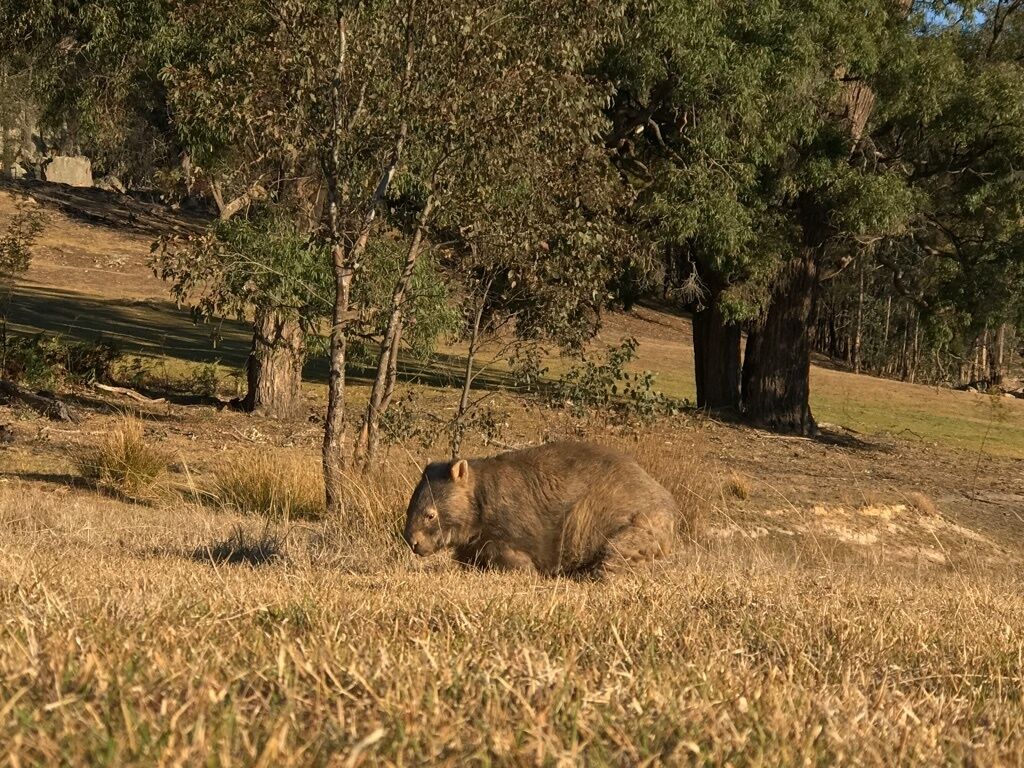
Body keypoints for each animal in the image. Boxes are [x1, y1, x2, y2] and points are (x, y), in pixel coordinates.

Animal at [402, 441, 677, 576]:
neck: (480, 492)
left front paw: (527, 571)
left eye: (430, 515)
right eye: (409, 510)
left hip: (640, 522)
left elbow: (510, 556)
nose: (411, 543)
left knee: (617, 553)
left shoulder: (510, 529)